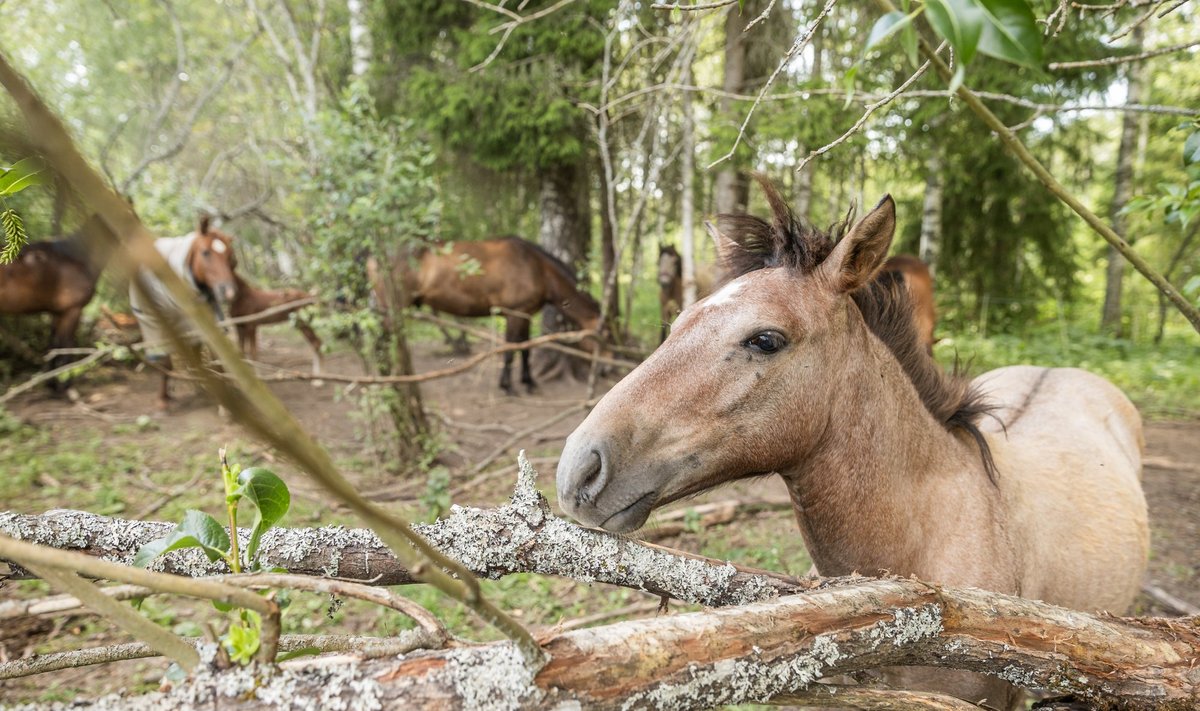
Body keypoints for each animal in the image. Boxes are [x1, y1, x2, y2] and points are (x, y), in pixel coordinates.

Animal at [130, 213, 237, 408]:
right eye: (205, 252)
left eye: (230, 256)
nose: (229, 291)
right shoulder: (157, 321)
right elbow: (165, 361)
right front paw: (162, 400)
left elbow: (215, 356)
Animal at [367, 237, 609, 393]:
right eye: (603, 336)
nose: (606, 369)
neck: (536, 267)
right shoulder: (514, 314)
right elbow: (511, 349)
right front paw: (508, 386)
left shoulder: (525, 315)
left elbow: (525, 349)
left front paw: (528, 382)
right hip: (392, 309)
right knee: (381, 342)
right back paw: (389, 380)